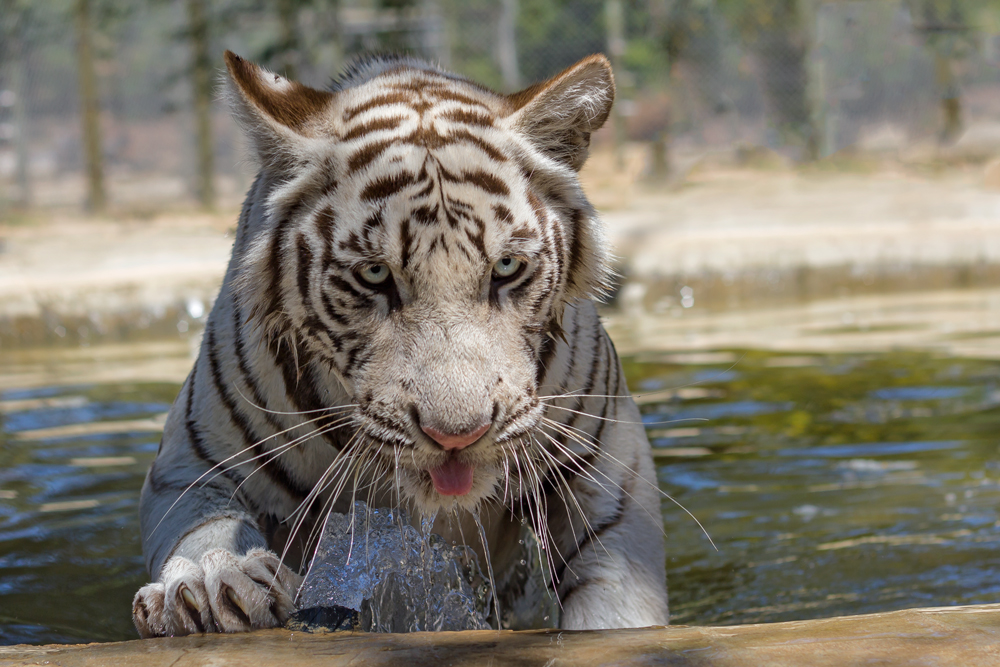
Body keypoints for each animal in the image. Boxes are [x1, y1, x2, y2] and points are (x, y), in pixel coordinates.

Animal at [131, 48, 664, 636]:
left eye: (506, 267)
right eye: (373, 275)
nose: (457, 436)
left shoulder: (604, 463)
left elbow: (615, 598)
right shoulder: (195, 459)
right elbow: (201, 524)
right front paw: (213, 580)